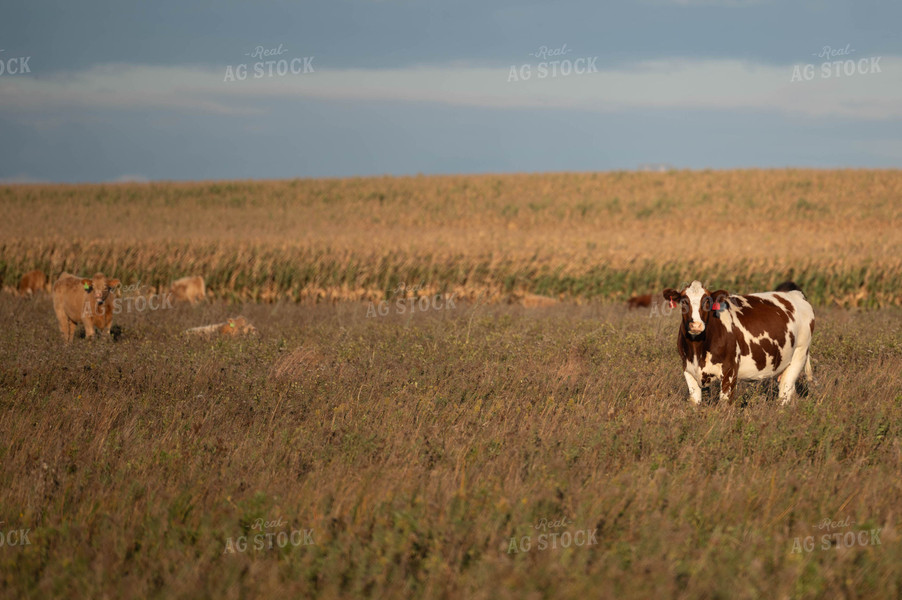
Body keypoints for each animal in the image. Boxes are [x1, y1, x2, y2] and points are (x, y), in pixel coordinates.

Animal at [660, 280, 816, 404]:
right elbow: (694, 402)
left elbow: (724, 404)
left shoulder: (730, 370)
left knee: (785, 392)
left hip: (799, 354)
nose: (696, 325)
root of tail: (794, 294)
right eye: (684, 301)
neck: (698, 349)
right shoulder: (688, 369)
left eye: (707, 301)